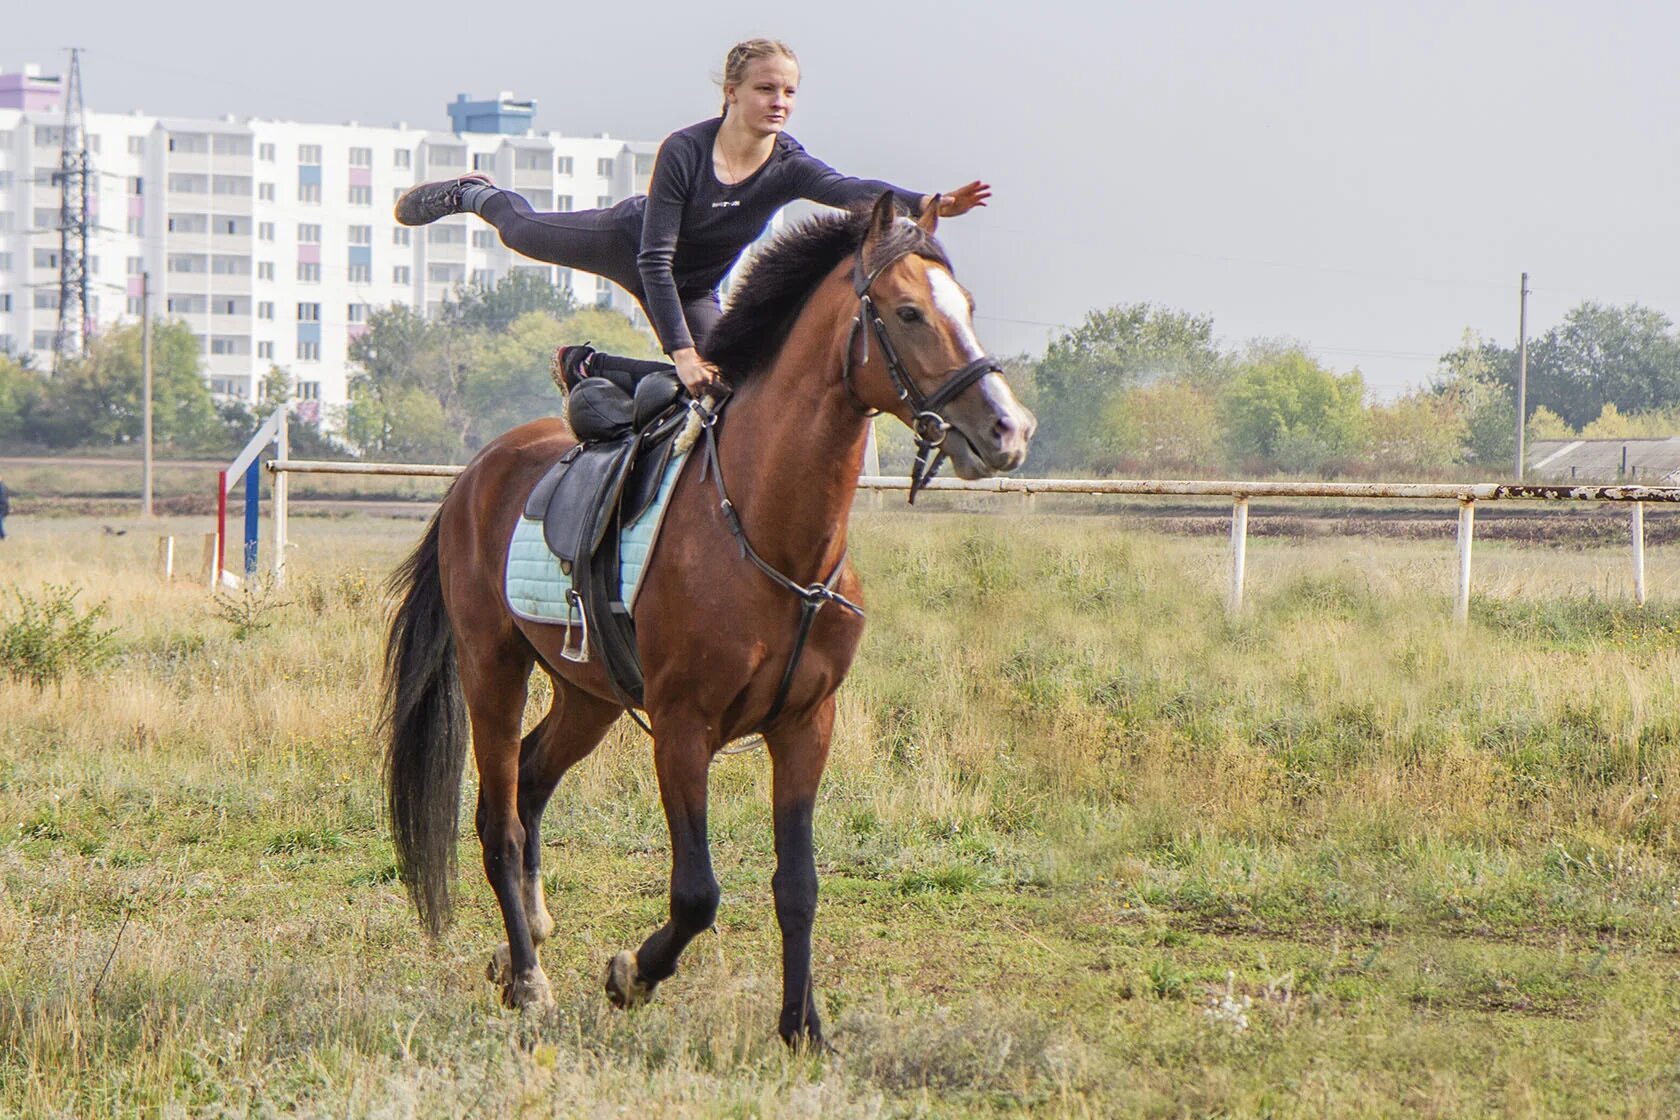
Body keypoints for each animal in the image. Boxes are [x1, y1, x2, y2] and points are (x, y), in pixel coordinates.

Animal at [384, 188, 1034, 1047]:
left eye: (967, 306)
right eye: (908, 313)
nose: (1008, 429)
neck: (769, 535)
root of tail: (475, 476)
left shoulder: (806, 726)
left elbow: (798, 884)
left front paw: (802, 1028)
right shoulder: (683, 729)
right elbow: (697, 892)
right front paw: (631, 974)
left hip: (587, 696)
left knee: (528, 779)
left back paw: (523, 938)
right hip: (493, 668)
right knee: (501, 822)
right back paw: (528, 978)